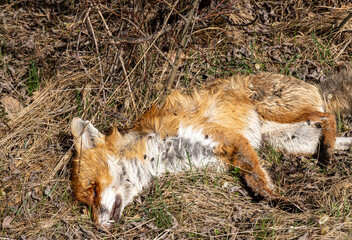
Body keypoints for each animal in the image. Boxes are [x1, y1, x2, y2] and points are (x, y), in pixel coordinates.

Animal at [69, 71, 352, 227]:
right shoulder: (222, 160)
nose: (98, 227)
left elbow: (258, 183)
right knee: (338, 136)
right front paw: (275, 200)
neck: (159, 152)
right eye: (86, 201)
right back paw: (332, 151)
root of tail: (315, 86)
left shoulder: (231, 139)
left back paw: (328, 156)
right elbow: (254, 179)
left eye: (93, 189)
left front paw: (281, 202)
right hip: (292, 142)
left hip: (283, 114)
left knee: (328, 117)